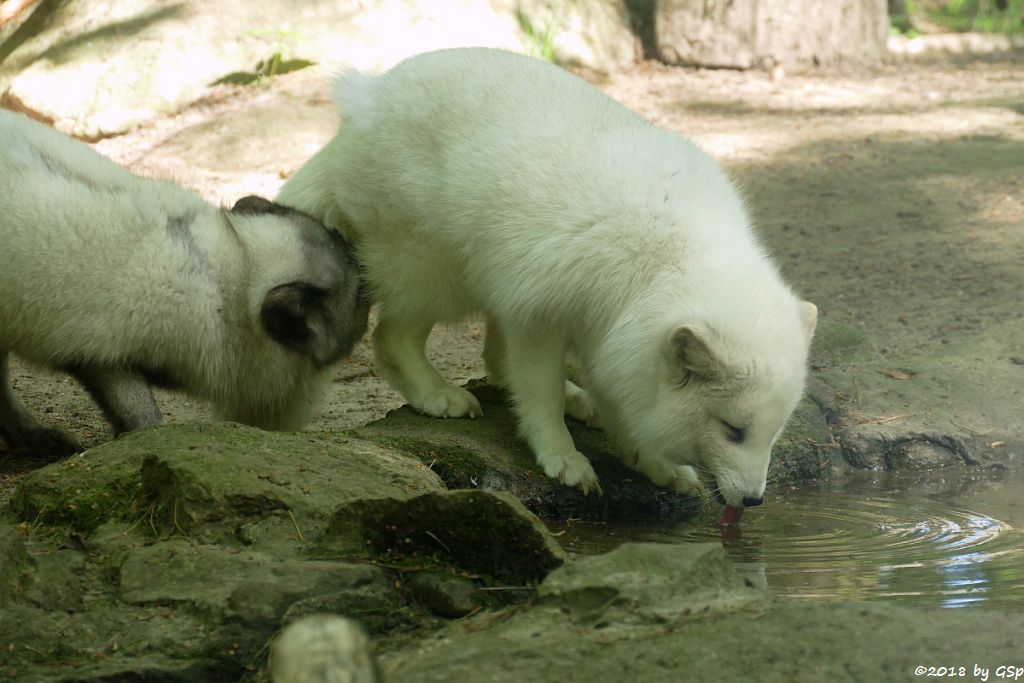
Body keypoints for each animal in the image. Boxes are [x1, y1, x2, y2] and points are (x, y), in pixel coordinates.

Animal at [276, 48, 819, 507]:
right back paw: (440, 395)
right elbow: (539, 396)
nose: (754, 501)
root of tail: (364, 99)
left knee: (495, 358)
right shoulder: (539, 315)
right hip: (440, 272)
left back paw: (576, 398)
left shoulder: (615, 332)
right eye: (732, 429)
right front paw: (564, 459)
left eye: (773, 432)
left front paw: (650, 461)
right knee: (393, 337)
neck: (668, 259)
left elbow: (615, 395)